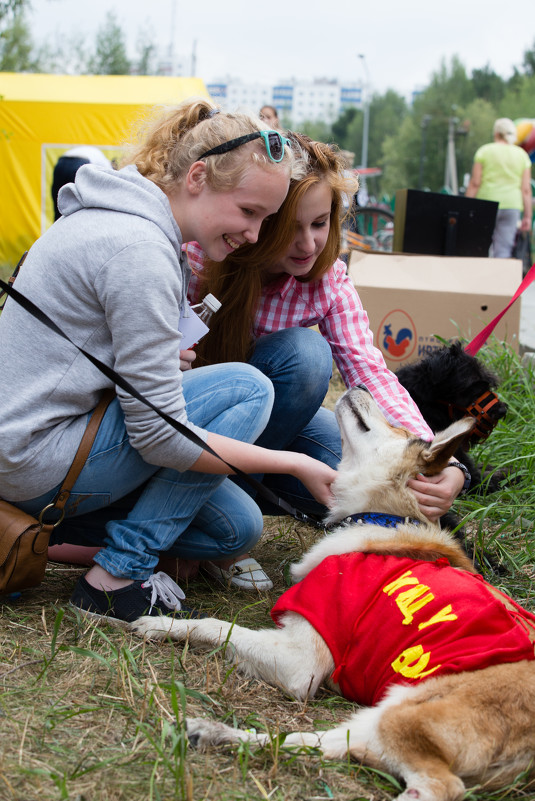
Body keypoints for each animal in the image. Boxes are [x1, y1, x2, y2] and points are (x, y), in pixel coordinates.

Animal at [133, 388, 535, 800]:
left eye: (399, 426)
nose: (361, 388)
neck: (384, 518)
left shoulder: (302, 663)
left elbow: (217, 626)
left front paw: (162, 623)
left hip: (404, 713)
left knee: (436, 784)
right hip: (381, 713)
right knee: (314, 743)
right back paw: (214, 733)